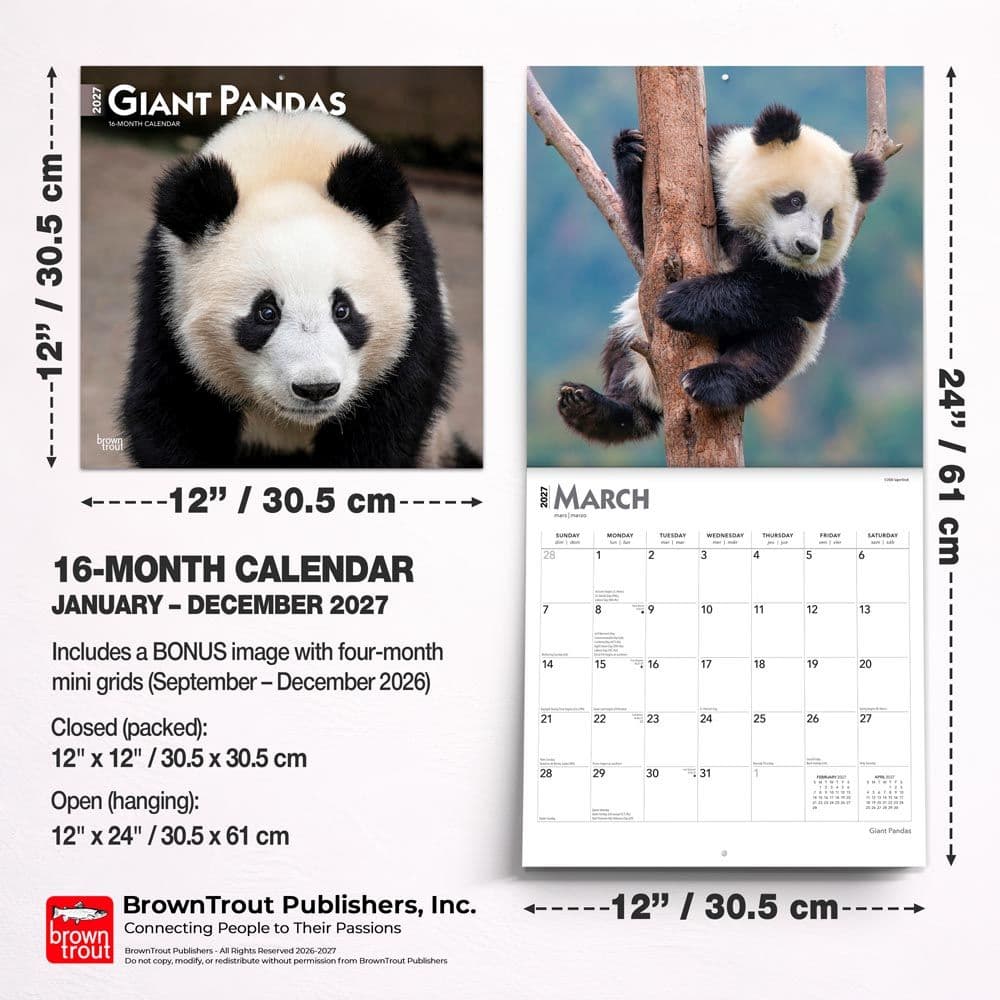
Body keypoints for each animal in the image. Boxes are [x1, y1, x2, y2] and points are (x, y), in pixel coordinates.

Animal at [121, 110, 479, 468]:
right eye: (266, 313)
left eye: (342, 310)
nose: (316, 388)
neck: (284, 161)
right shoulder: (168, 291)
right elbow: (170, 407)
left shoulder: (412, 275)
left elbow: (390, 414)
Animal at [557, 104, 886, 443]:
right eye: (795, 200)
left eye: (828, 220)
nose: (805, 247)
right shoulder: (713, 170)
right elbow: (646, 236)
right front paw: (632, 151)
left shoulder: (818, 276)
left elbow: (795, 292)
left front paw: (681, 301)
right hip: (636, 327)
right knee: (623, 359)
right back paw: (595, 409)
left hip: (797, 342)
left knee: (767, 351)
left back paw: (710, 382)